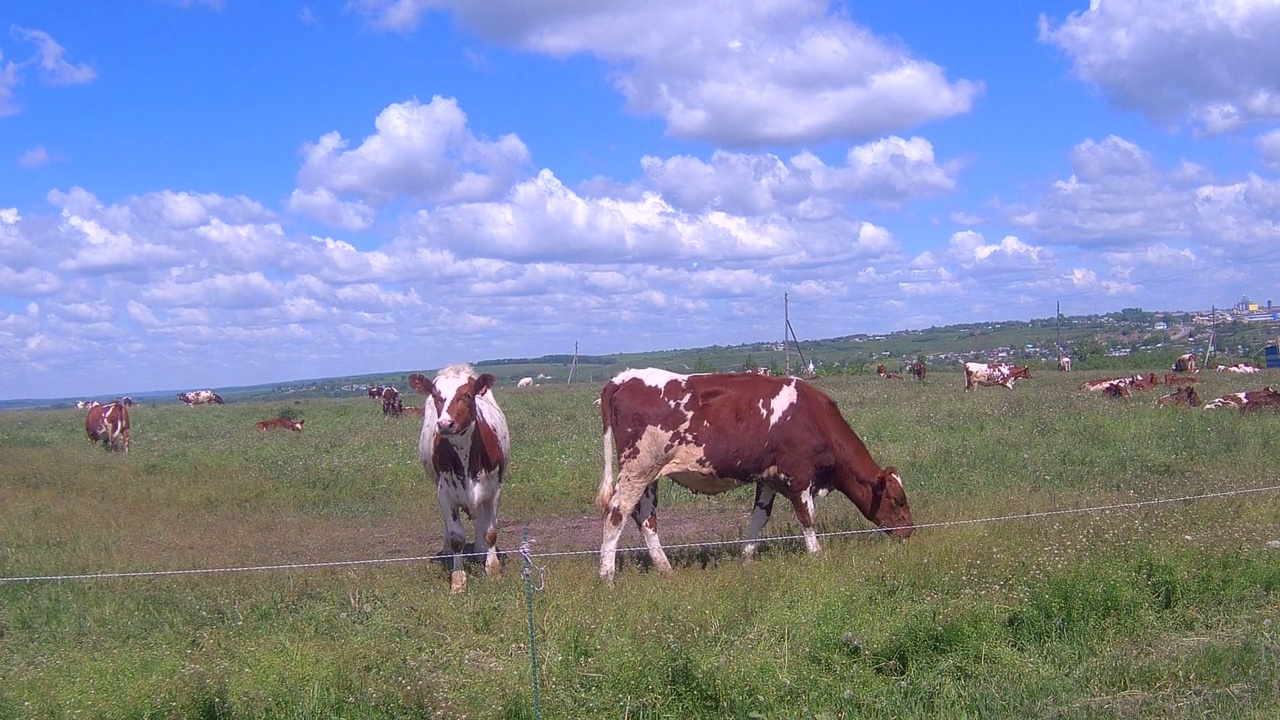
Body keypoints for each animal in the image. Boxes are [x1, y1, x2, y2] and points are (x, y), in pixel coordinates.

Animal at [409, 361, 509, 591]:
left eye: (467, 395)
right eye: (436, 395)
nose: (445, 424)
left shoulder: (494, 490)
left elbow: (491, 531)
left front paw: (493, 570)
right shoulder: (445, 493)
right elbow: (457, 538)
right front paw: (458, 579)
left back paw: (480, 550)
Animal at [593, 366, 916, 579]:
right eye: (898, 500)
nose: (910, 531)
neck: (813, 416)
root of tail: (625, 377)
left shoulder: (768, 478)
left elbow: (760, 517)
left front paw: (746, 557)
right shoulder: (798, 475)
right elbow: (807, 517)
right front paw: (816, 554)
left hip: (649, 475)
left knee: (646, 519)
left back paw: (665, 569)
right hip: (637, 468)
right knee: (616, 513)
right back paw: (607, 576)